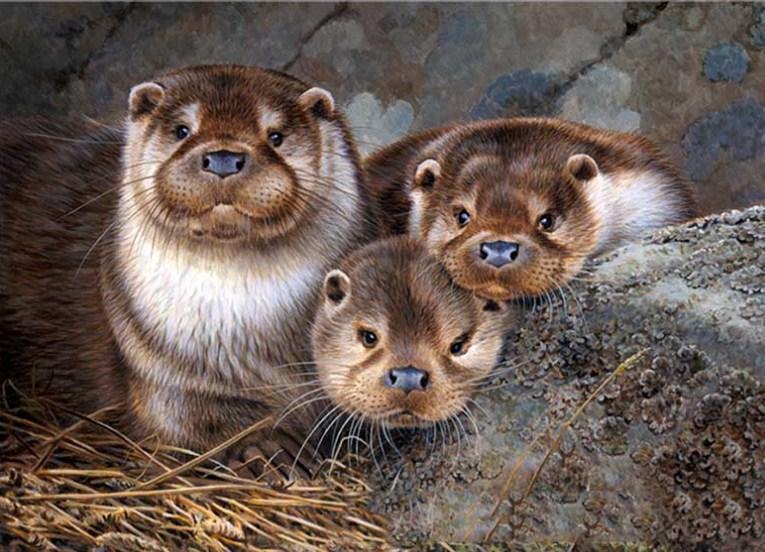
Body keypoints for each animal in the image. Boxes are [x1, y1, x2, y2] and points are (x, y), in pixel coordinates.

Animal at [0, 65, 376, 459]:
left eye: (276, 136)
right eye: (182, 130)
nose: (224, 158)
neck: (243, 336)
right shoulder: (154, 368)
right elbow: (188, 417)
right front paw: (265, 444)